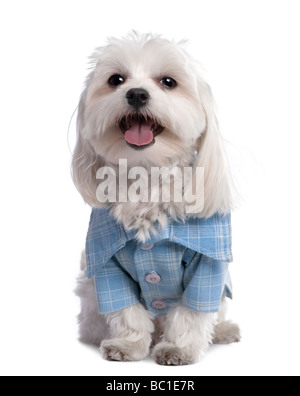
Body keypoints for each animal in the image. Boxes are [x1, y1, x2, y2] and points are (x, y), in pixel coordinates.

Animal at [72, 31, 241, 366]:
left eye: (168, 82)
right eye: (115, 79)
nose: (137, 94)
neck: (147, 178)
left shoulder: (210, 260)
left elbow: (192, 312)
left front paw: (179, 349)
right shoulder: (105, 258)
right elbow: (126, 311)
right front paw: (127, 345)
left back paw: (224, 331)